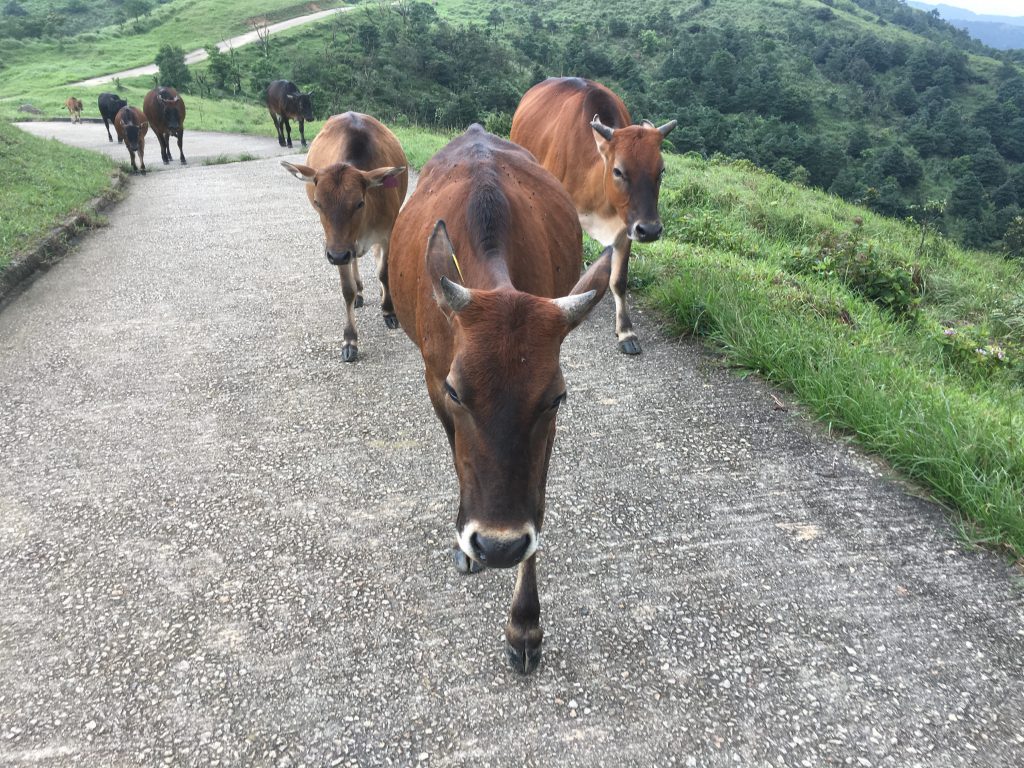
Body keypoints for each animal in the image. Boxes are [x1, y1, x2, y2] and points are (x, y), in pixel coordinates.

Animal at [282, 112, 409, 364]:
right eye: (318, 203)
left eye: (359, 202)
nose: (339, 255)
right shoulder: (336, 245)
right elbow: (346, 289)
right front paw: (350, 340)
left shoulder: (386, 232)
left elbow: (383, 271)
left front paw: (388, 310)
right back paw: (360, 291)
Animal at [385, 124, 606, 671]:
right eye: (456, 391)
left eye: (556, 398)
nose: (499, 546)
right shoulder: (433, 381)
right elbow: (459, 454)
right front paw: (467, 546)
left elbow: (538, 502)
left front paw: (525, 623)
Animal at [507, 78, 675, 354]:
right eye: (618, 171)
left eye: (660, 171)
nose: (650, 230)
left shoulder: (627, 225)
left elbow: (619, 280)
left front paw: (626, 331)